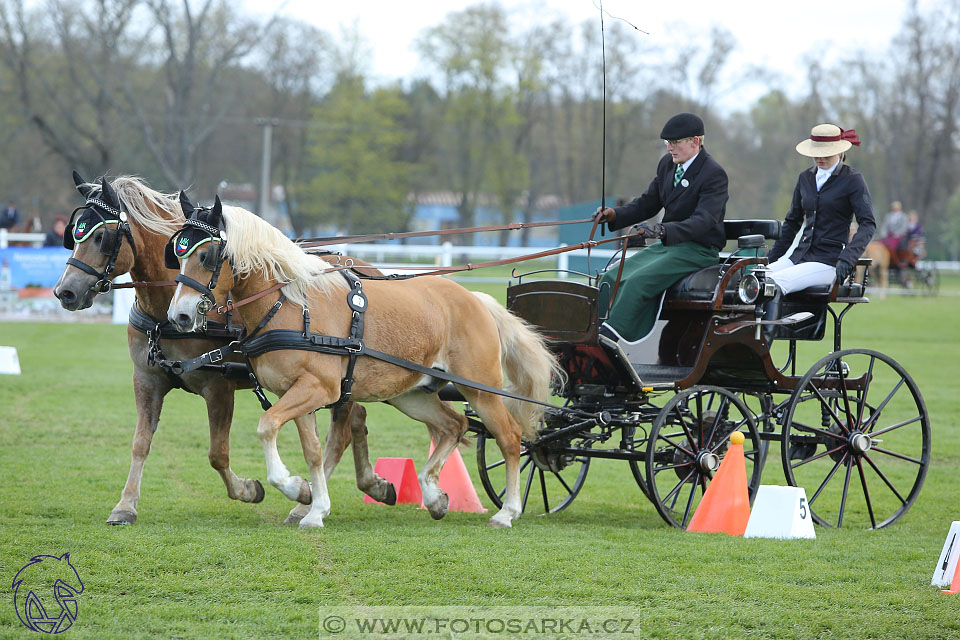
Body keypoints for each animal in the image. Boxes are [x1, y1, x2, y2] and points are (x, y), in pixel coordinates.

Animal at [53, 174, 394, 524]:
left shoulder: (218, 386)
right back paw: (372, 484)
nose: (65, 292)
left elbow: (217, 453)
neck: (166, 314)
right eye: (74, 233)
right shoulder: (147, 381)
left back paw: (308, 503)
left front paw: (251, 489)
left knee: (340, 431)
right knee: (356, 416)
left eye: (102, 237)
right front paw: (125, 505)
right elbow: (140, 443)